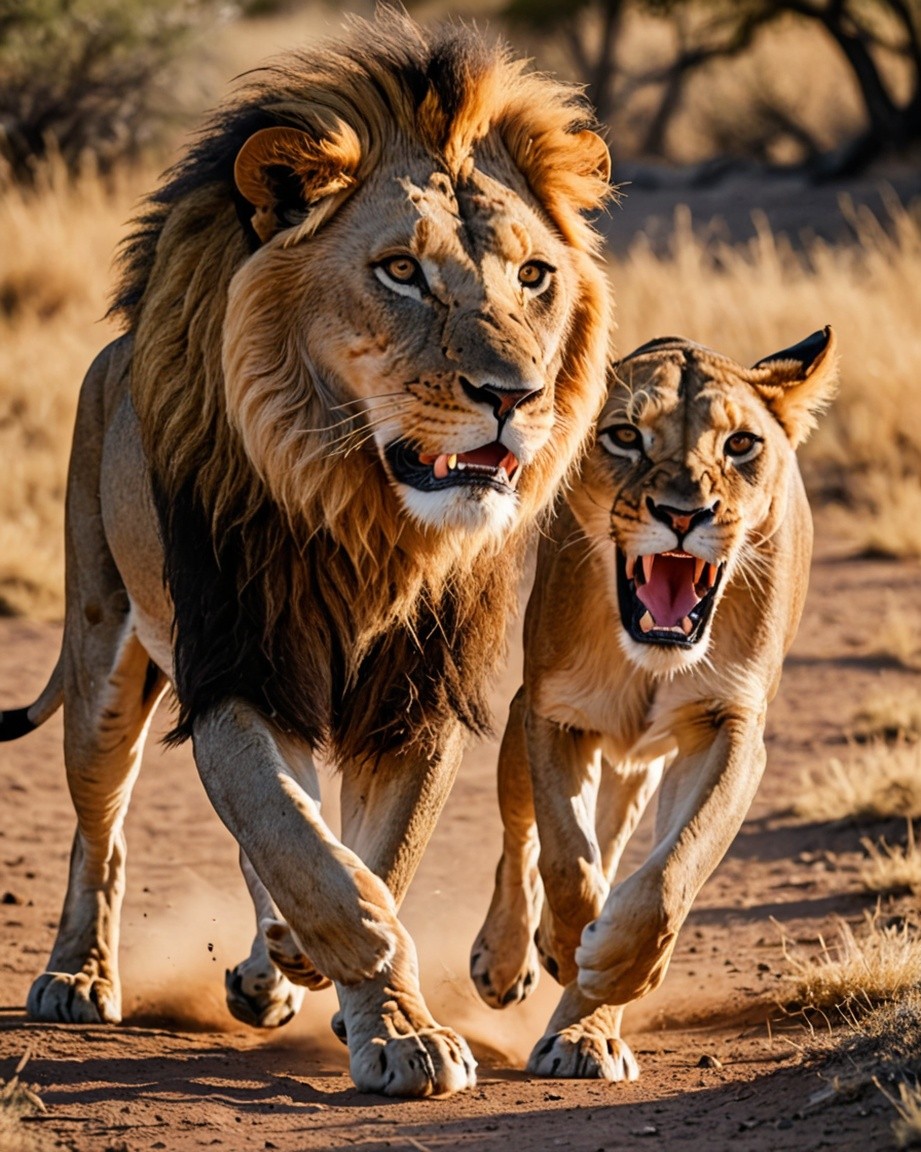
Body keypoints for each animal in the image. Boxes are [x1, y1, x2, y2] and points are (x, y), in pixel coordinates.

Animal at [0, 11, 613, 1097]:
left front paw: (368, 1007)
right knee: (99, 832)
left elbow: (372, 859)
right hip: (103, 656)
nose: (515, 395)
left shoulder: (415, 697)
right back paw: (78, 976)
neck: (369, 518)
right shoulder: (236, 669)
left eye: (534, 277)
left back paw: (266, 965)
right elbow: (316, 860)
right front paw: (397, 1027)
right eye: (400, 270)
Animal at [470, 329, 837, 1080]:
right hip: (527, 720)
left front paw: (604, 991)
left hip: (642, 761)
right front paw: (567, 944)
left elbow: (670, 872)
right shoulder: (554, 713)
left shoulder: (727, 728)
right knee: (522, 839)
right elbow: (564, 859)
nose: (683, 515)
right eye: (623, 435)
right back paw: (510, 957)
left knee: (617, 854)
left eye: (740, 445)